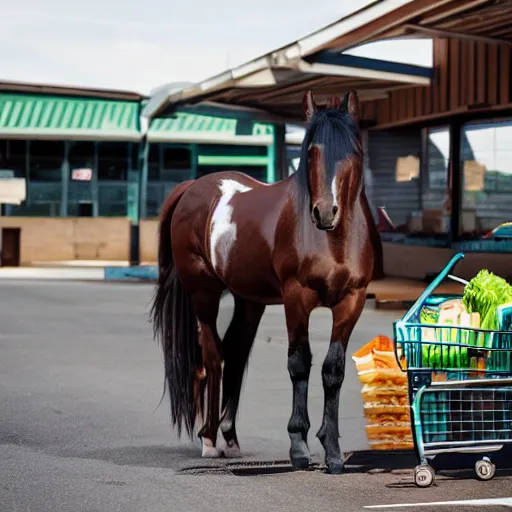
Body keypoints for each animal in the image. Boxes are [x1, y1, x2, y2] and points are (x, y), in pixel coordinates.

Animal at [150, 89, 382, 476]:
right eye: (310, 151)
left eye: (353, 150)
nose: (325, 212)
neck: (333, 240)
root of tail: (193, 187)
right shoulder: (296, 298)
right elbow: (299, 363)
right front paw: (299, 447)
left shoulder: (352, 301)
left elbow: (332, 369)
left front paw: (333, 453)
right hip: (203, 294)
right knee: (213, 353)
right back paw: (209, 439)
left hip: (249, 300)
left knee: (234, 351)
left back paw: (230, 439)